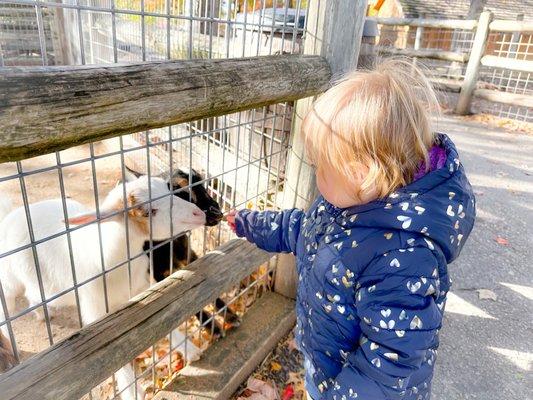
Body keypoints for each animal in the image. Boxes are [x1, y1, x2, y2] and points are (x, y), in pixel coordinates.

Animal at [0, 177, 205, 400]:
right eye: (149, 212)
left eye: (168, 188)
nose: (199, 214)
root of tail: (9, 216)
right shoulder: (96, 311)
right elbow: (110, 350)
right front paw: (132, 391)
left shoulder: (143, 287)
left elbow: (167, 311)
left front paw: (190, 349)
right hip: (8, 280)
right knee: (7, 309)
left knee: (34, 295)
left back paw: (42, 314)